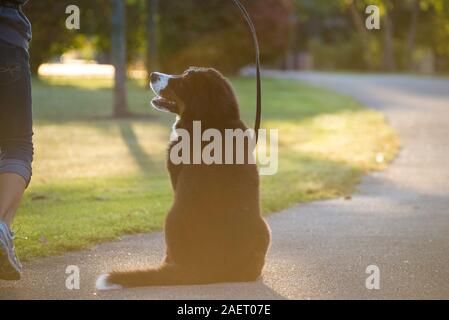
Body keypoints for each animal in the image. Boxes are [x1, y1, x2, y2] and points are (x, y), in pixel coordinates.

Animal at [96, 67, 270, 290]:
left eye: (181, 83)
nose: (152, 74)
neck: (211, 121)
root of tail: (209, 268)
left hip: (171, 217)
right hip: (264, 229)